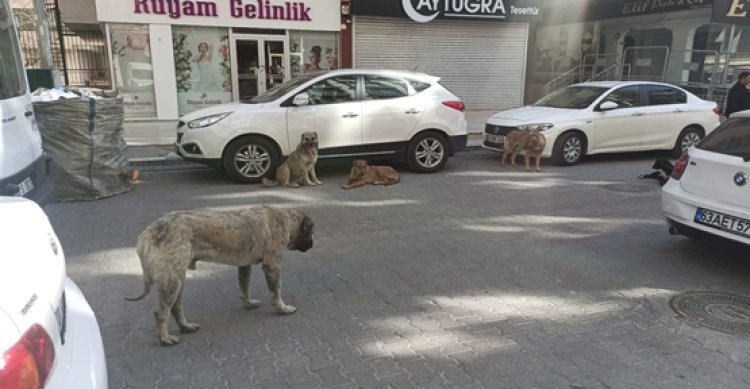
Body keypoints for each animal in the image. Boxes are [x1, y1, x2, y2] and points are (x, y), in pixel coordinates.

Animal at [126, 206, 314, 346]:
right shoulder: (272, 266)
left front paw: (248, 303)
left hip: (178, 280)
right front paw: (282, 308)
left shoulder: (244, 265)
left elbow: (244, 286)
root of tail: (147, 233)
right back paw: (165, 338)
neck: (285, 218)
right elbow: (276, 292)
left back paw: (185, 326)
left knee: (175, 308)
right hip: (172, 282)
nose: (312, 244)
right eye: (311, 233)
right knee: (161, 312)